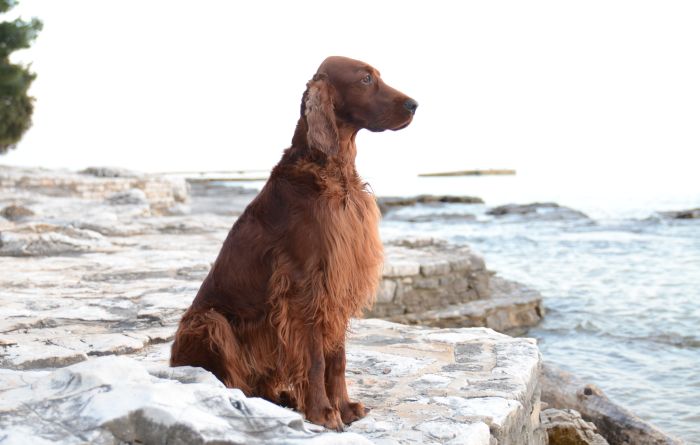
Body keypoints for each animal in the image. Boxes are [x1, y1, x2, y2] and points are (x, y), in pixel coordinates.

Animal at [171, 55, 416, 430]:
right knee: (228, 379)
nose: (414, 104)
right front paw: (323, 412)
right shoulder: (304, 286)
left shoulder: (337, 284)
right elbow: (315, 358)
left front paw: (344, 406)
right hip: (210, 322)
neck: (334, 172)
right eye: (365, 79)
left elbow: (337, 358)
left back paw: (283, 396)